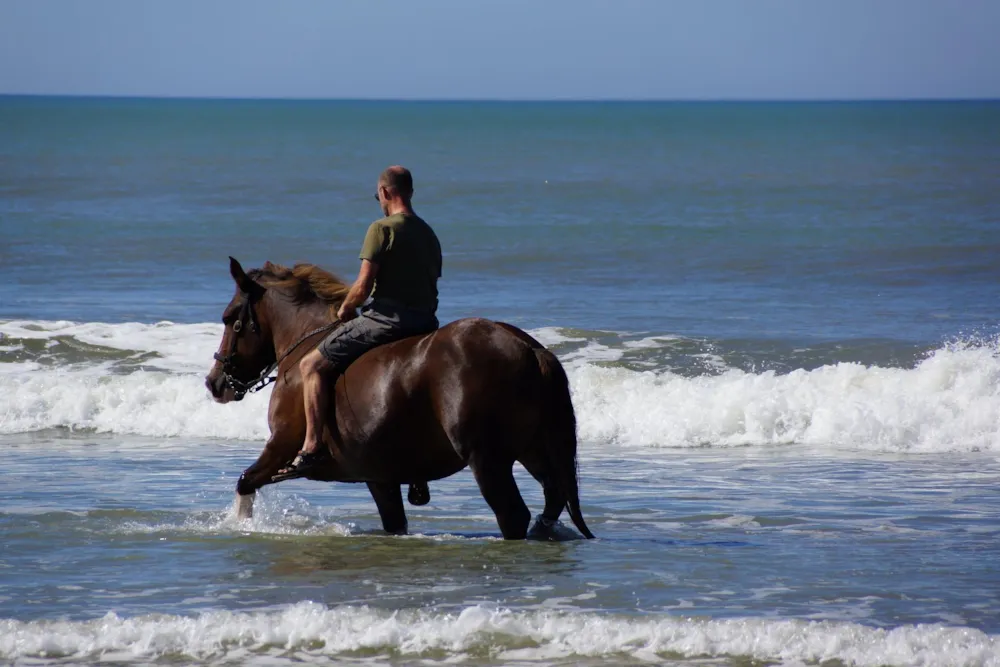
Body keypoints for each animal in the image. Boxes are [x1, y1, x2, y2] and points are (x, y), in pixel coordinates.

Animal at [203, 258, 592, 540]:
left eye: (229, 318)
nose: (214, 382)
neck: (304, 348)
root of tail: (529, 348)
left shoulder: (281, 447)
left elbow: (245, 483)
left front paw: (240, 526)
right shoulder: (380, 477)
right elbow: (394, 522)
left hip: (488, 460)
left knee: (513, 514)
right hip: (534, 450)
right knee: (553, 496)